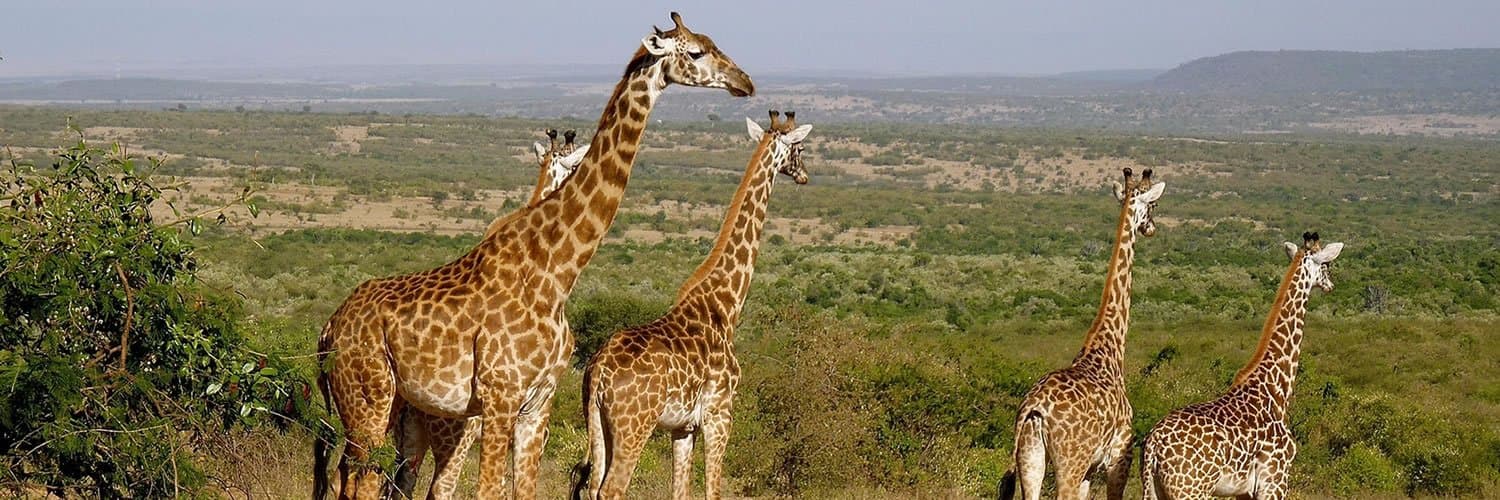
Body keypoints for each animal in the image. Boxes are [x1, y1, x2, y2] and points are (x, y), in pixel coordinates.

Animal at [571, 110, 812, 500]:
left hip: (597, 422)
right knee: (610, 490)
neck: (725, 304)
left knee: (591, 488)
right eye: (800, 147)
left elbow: (680, 491)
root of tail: (599, 373)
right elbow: (713, 490)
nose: (804, 174)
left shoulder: (682, 427)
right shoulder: (720, 413)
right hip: (633, 426)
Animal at [999, 168, 1167, 500]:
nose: (1152, 229)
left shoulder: (1091, 469)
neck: (1110, 346)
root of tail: (1035, 408)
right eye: (1153, 205)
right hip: (1070, 460)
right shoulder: (1119, 457)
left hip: (1031, 457)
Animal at [1141, 232, 1344, 500]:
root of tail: (1153, 446)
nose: (1331, 285)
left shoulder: (1245, 490)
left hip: (1153, 488)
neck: (1276, 388)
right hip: (1190, 490)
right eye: (1327, 265)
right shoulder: (1275, 481)